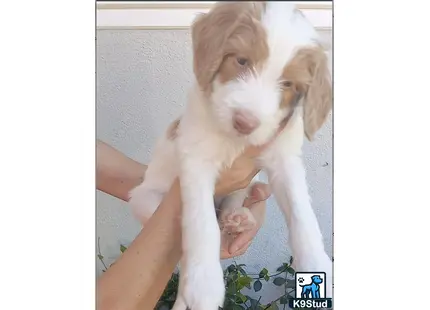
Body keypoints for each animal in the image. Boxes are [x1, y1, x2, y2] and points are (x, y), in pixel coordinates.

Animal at [129, 1, 334, 308]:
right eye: (241, 61)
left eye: (288, 84)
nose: (245, 123)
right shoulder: (197, 158)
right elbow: (202, 224)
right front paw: (203, 285)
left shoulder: (284, 159)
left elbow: (302, 214)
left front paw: (316, 263)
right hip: (145, 199)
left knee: (234, 202)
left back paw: (240, 217)